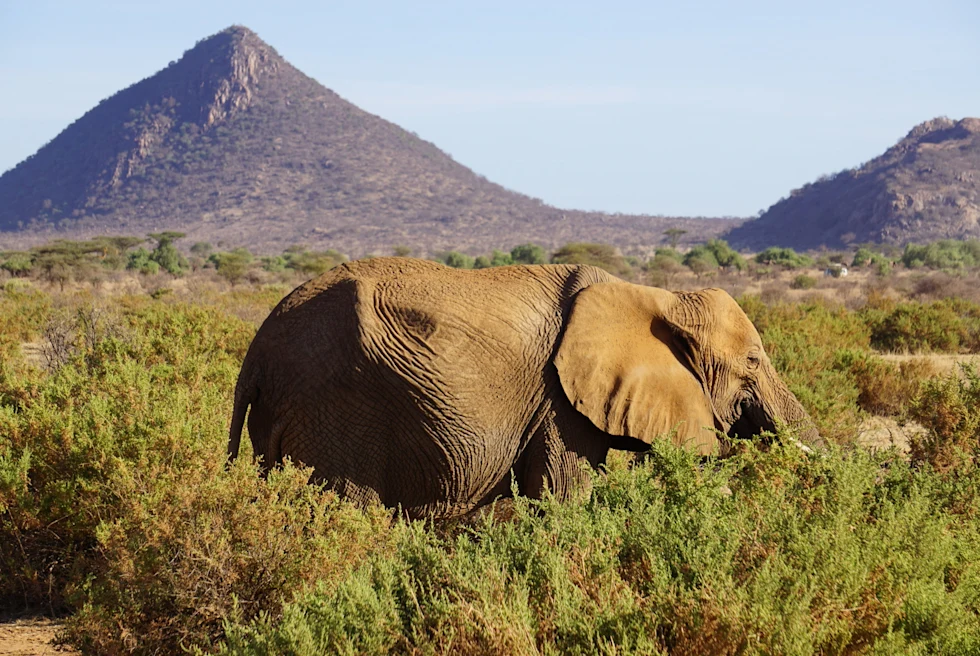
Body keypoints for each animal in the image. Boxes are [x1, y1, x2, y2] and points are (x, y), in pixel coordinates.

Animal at [230, 256, 820, 516]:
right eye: (753, 362)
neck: (656, 295)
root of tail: (257, 350)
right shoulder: (558, 401)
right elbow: (563, 496)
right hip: (337, 413)